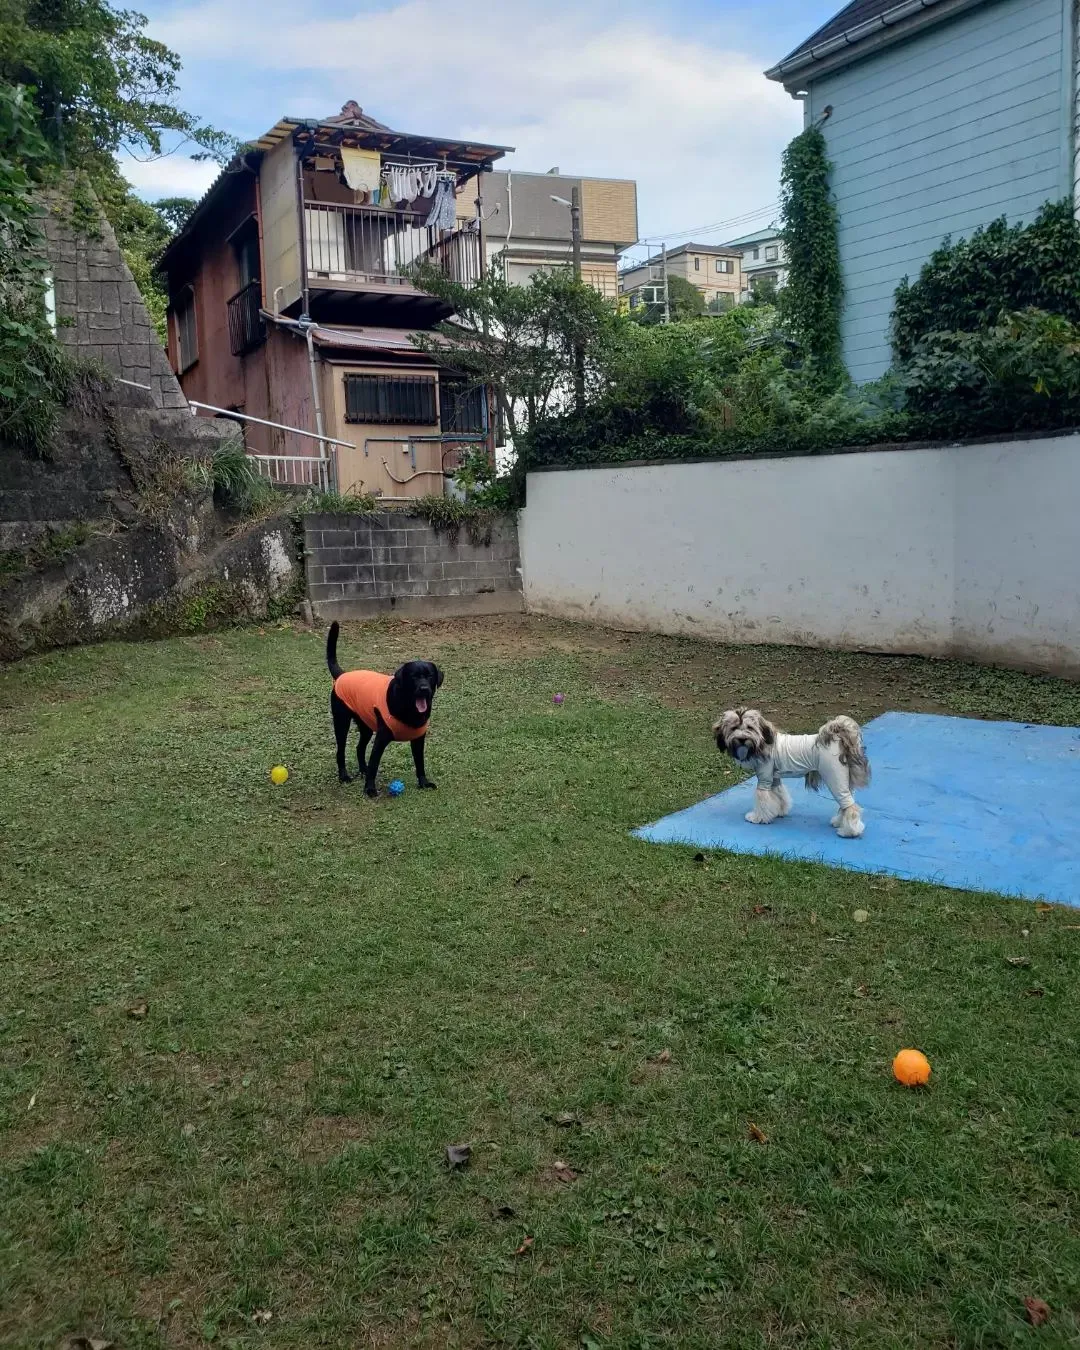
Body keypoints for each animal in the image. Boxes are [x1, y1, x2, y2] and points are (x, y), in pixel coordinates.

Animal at [325, 623, 442, 799]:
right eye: (414, 676)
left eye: (430, 676)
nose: (424, 689)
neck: (408, 709)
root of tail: (342, 675)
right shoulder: (381, 739)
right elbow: (374, 764)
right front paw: (369, 789)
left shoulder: (418, 740)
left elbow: (420, 763)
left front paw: (423, 783)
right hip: (341, 723)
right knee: (341, 751)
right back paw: (344, 776)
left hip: (366, 726)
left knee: (359, 748)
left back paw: (363, 770)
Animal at [718, 707, 869, 831]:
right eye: (734, 728)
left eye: (749, 727)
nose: (742, 739)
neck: (762, 743)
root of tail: (838, 739)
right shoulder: (774, 778)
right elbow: (779, 794)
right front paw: (779, 811)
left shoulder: (764, 779)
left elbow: (762, 800)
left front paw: (758, 818)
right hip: (844, 780)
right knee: (845, 805)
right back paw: (839, 822)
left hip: (834, 778)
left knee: (850, 806)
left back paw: (850, 831)